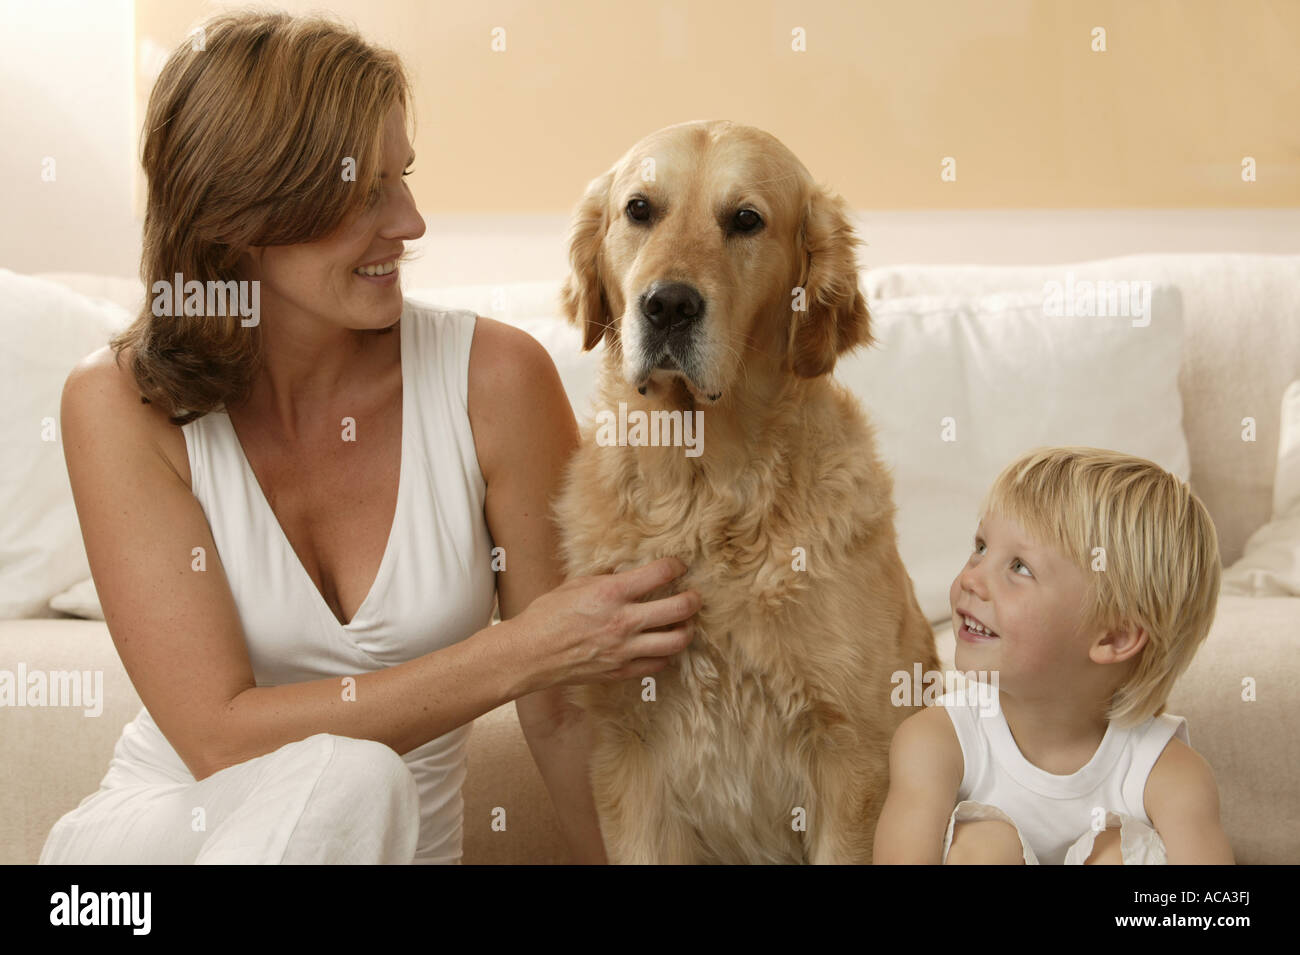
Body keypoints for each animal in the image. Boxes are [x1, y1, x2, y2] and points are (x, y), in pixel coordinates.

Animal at [553, 119, 941, 867]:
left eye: (746, 220)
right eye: (639, 209)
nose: (668, 305)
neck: (706, 489)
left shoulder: (852, 755)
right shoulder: (627, 752)